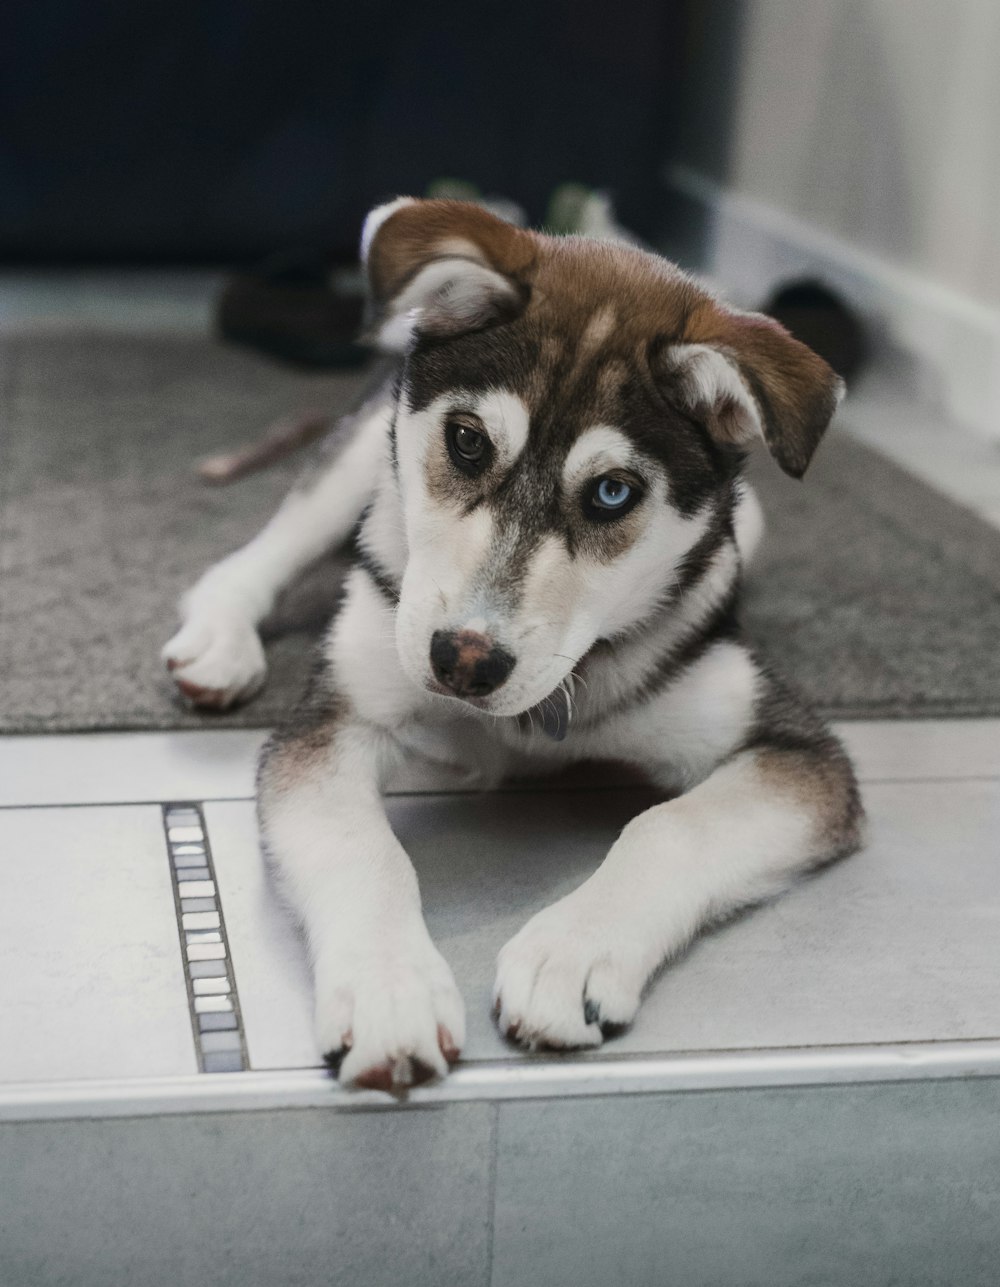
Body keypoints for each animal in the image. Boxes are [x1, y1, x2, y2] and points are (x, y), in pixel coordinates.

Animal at [162, 198, 859, 1086]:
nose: (463, 661)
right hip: (364, 458)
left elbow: (671, 825)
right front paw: (389, 990)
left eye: (612, 492)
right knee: (261, 549)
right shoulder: (336, 721)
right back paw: (219, 641)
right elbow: (360, 845)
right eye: (467, 441)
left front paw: (573, 954)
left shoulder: (791, 746)